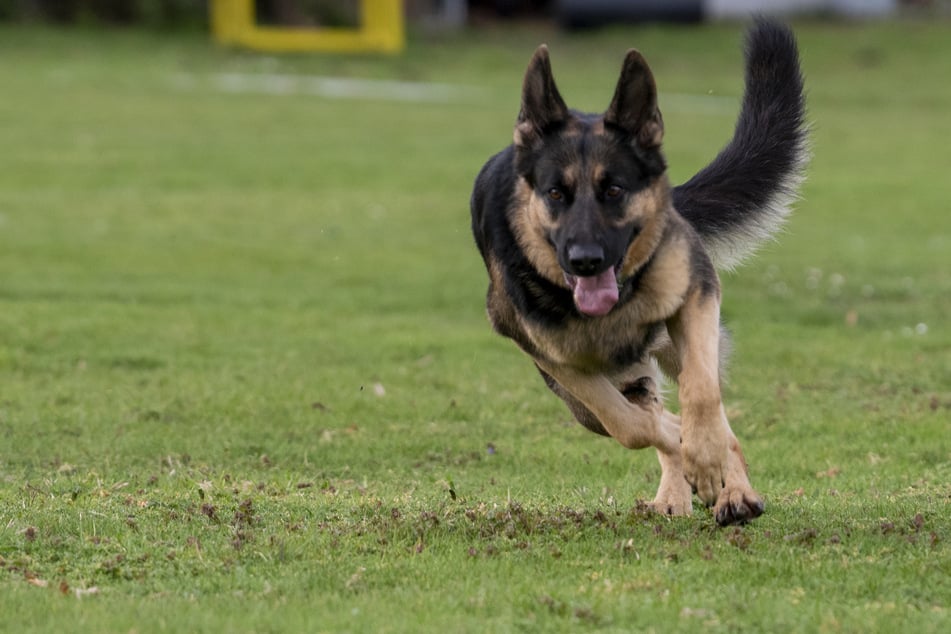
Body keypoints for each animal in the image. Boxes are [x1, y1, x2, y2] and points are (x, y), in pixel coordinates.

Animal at [472, 19, 808, 524]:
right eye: (555, 193)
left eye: (614, 190)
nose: (585, 260)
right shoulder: (562, 365)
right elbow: (632, 426)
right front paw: (685, 448)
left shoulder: (697, 297)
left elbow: (701, 394)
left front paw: (708, 458)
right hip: (593, 394)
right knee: (644, 412)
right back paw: (678, 488)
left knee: (712, 411)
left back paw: (733, 490)